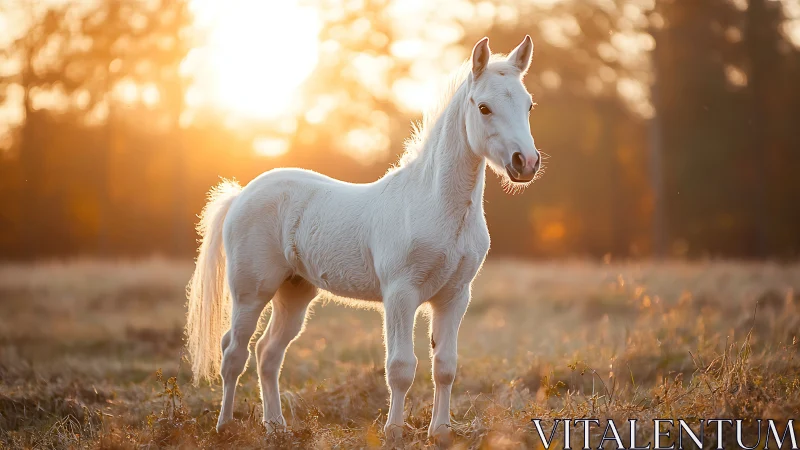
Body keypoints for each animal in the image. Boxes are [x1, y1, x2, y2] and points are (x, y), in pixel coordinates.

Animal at [185, 35, 541, 445]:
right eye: (484, 107)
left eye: (529, 105)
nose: (526, 163)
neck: (434, 204)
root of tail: (241, 195)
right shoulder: (401, 295)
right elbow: (401, 367)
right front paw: (394, 432)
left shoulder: (454, 297)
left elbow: (445, 366)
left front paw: (441, 433)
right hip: (251, 293)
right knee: (234, 353)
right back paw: (225, 426)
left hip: (294, 293)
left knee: (267, 355)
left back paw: (276, 427)